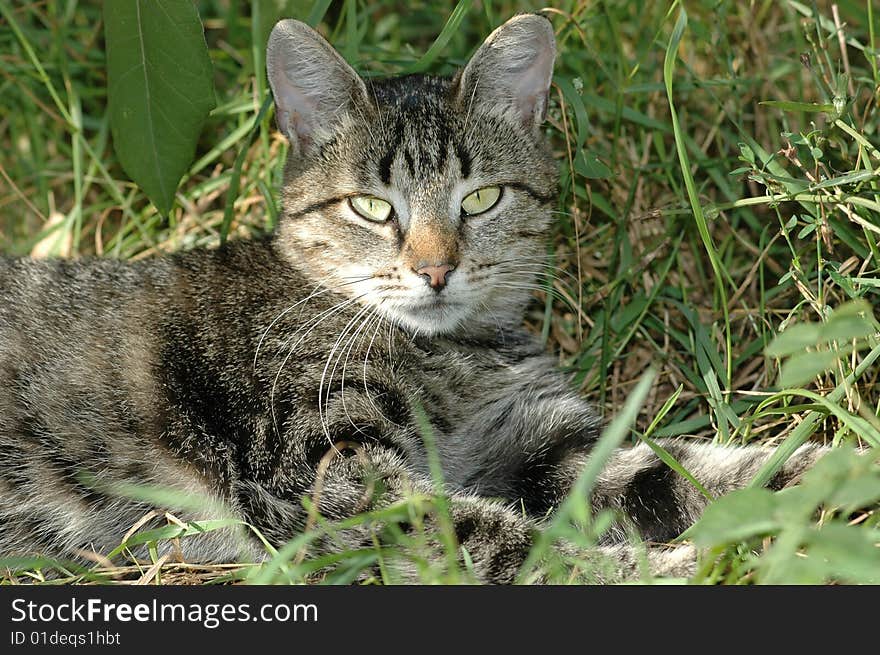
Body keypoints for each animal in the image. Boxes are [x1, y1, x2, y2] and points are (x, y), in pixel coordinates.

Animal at [0, 12, 824, 580]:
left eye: (482, 198)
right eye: (372, 208)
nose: (435, 270)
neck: (449, 355)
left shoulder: (537, 442)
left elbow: (692, 474)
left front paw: (828, 481)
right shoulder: (322, 472)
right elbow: (502, 541)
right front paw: (668, 568)